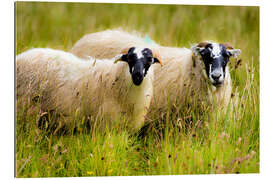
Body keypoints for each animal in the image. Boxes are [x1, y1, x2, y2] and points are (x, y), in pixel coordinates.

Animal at [16, 46, 162, 131]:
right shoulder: (105, 123)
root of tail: (19, 58)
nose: (137, 75)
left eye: (150, 59)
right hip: (27, 107)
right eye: (130, 58)